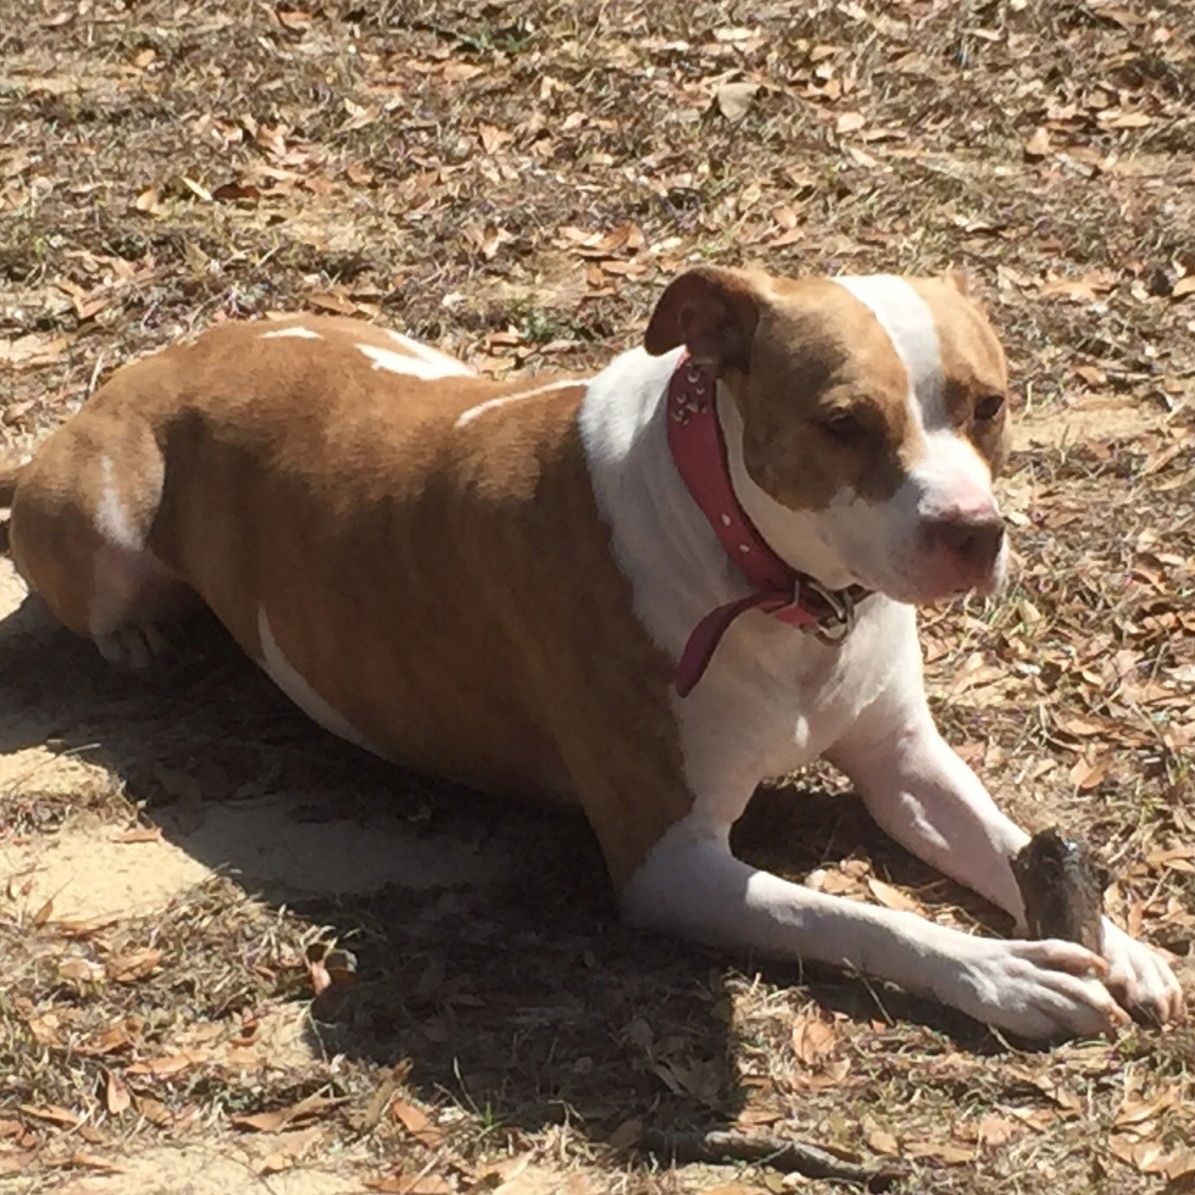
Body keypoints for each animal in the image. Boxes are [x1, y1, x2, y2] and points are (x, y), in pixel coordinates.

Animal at [0, 268, 1175, 1037]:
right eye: (844, 423)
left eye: (989, 405)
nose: (973, 531)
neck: (772, 584)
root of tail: (159, 357)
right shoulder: (671, 861)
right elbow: (851, 916)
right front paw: (1006, 975)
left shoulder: (906, 764)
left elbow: (1000, 835)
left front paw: (1124, 944)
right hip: (101, 525)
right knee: (92, 595)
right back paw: (138, 633)